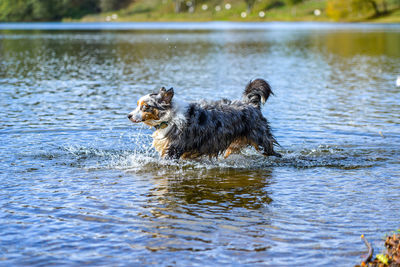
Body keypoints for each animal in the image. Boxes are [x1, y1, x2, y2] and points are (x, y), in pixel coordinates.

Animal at [128, 78, 282, 160]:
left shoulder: (173, 150)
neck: (169, 118)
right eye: (137, 105)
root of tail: (251, 104)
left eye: (145, 107)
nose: (128, 116)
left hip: (261, 141)